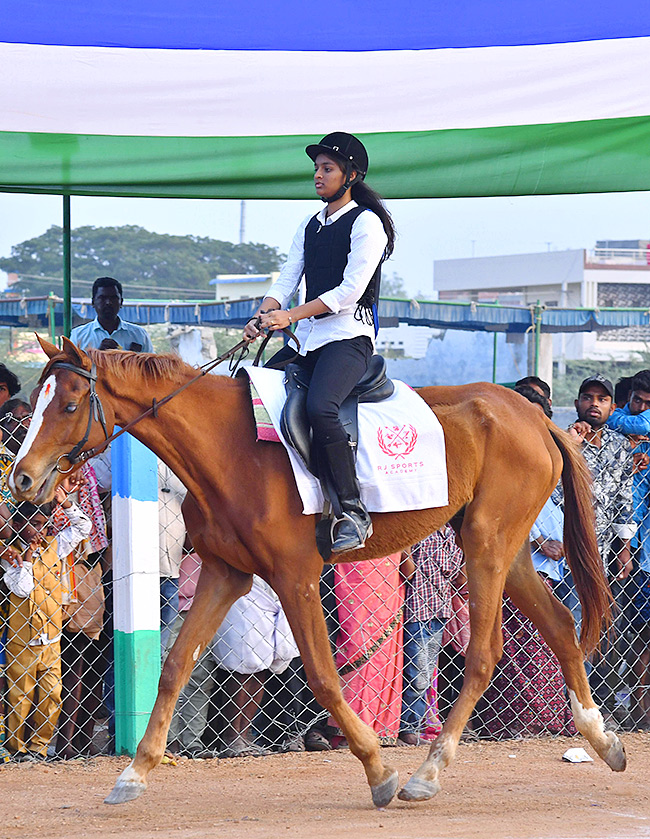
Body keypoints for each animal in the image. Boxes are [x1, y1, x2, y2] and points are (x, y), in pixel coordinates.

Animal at [10, 338, 624, 812]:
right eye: (37, 403)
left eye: (69, 404)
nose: (21, 478)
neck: (229, 447)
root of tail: (535, 416)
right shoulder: (225, 574)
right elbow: (175, 666)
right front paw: (133, 774)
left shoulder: (296, 574)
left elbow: (325, 677)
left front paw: (379, 770)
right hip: (508, 548)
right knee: (561, 625)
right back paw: (601, 737)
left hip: (487, 544)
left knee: (484, 652)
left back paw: (427, 772)